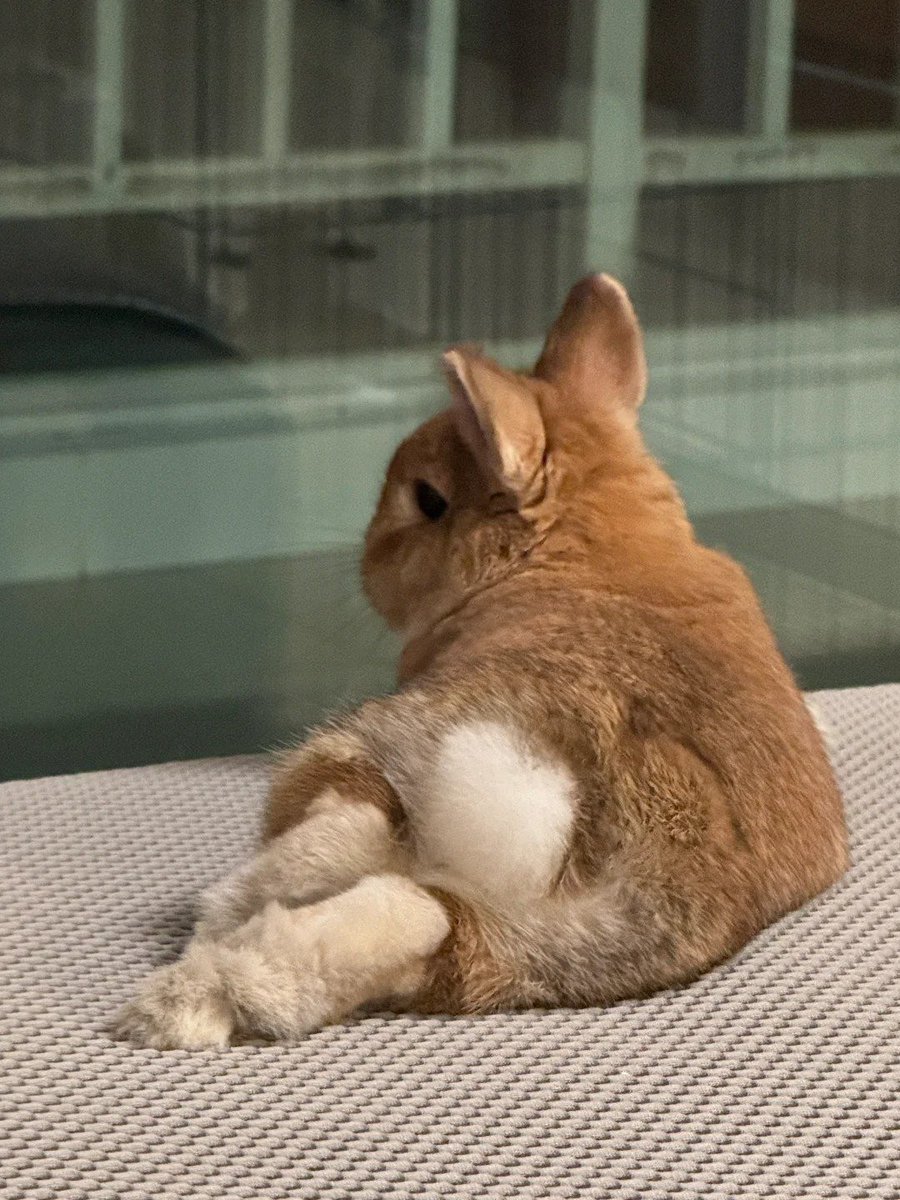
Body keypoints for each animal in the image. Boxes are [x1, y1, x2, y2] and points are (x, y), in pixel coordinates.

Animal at [114, 274, 849, 1049]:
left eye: (429, 500)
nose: (369, 556)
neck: (587, 548)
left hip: (368, 747)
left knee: (355, 843)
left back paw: (191, 961)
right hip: (504, 944)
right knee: (417, 916)